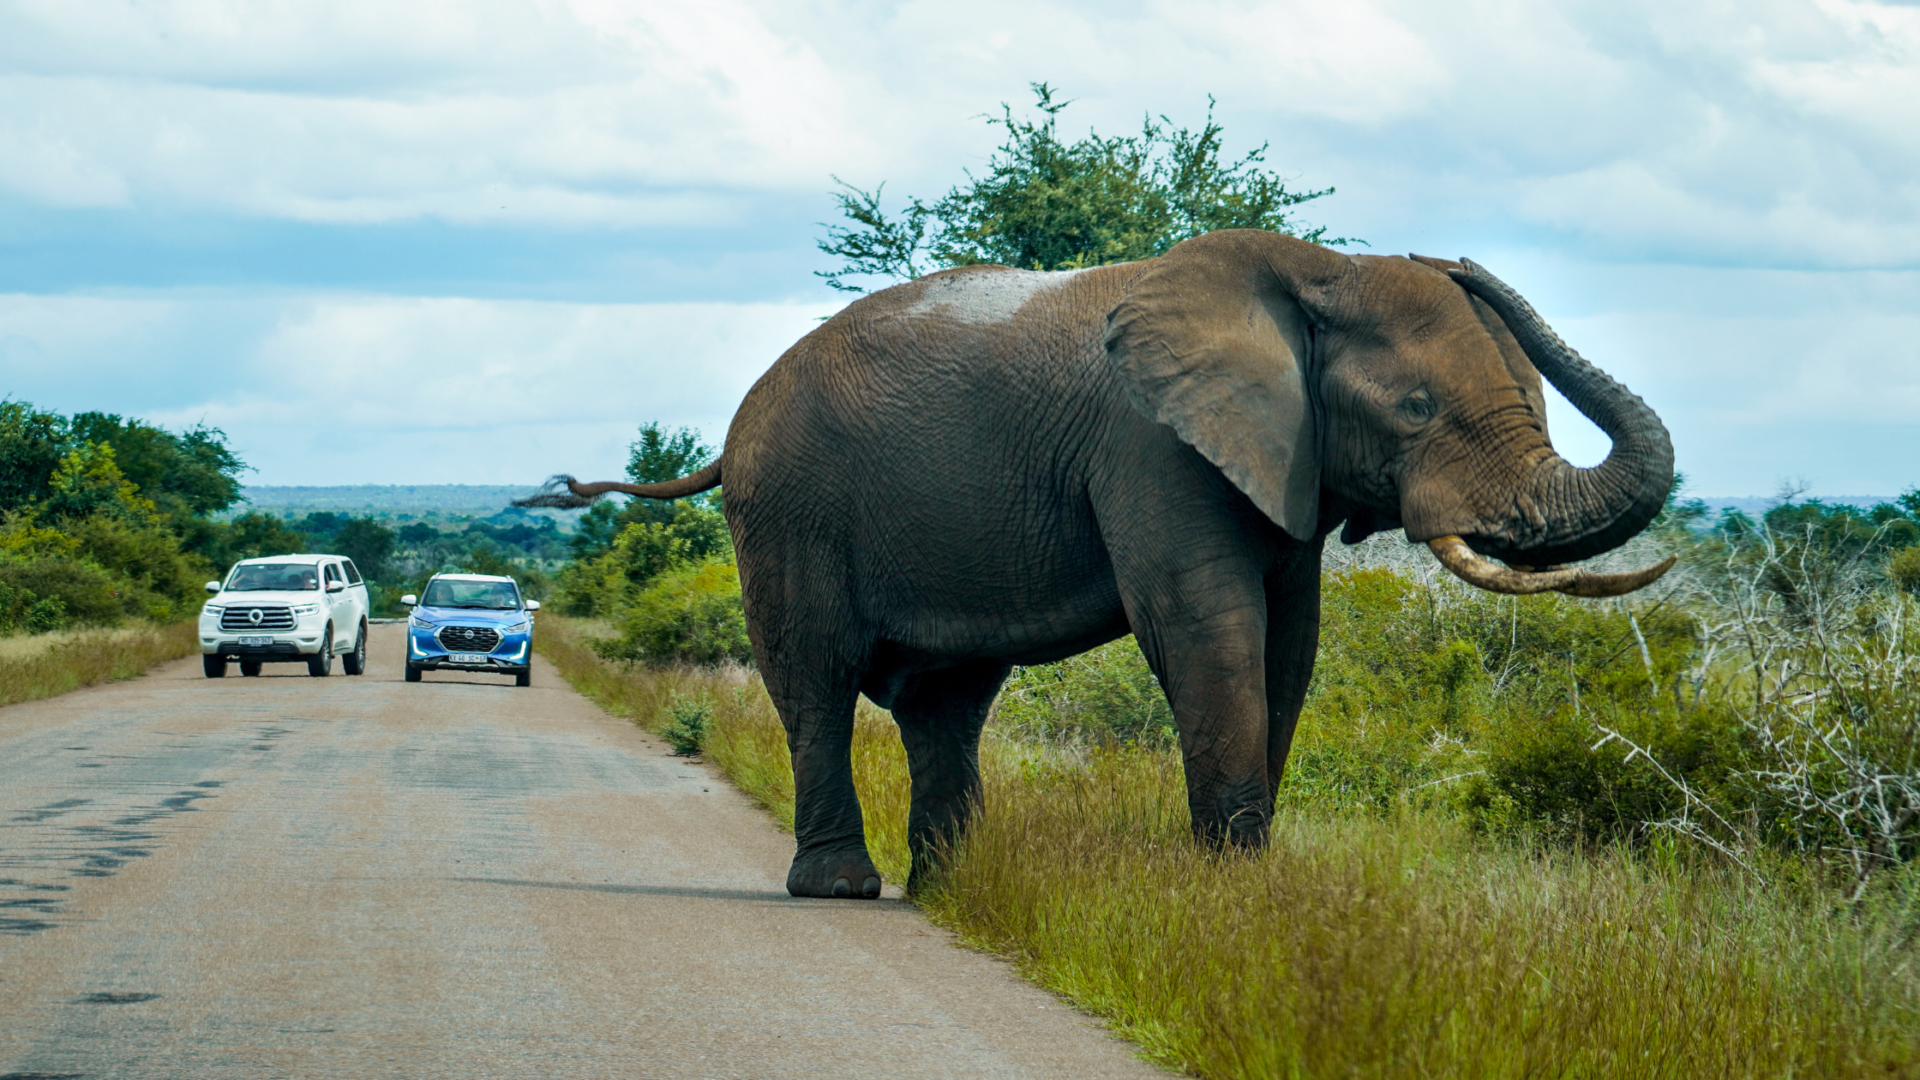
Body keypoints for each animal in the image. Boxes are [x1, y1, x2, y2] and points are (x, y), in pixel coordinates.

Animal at [518, 231, 1674, 895]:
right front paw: (1228, 900)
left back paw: (955, 894)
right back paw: (844, 889)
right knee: (817, 687)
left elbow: (1290, 645)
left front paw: (1247, 889)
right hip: (789, 512)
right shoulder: (1150, 446)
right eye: (1415, 409)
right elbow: (1208, 627)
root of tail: (737, 422)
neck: (1309, 272)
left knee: (945, 704)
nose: (1467, 262)